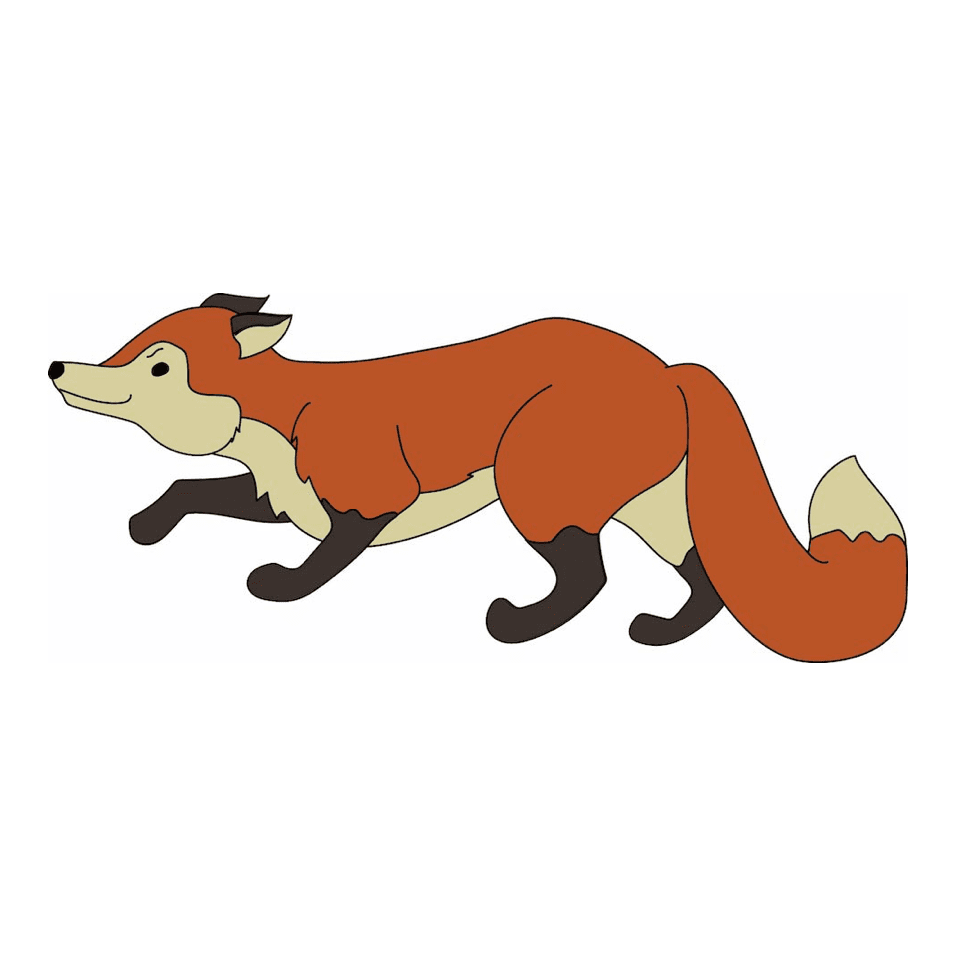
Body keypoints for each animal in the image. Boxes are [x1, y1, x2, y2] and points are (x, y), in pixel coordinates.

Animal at [49, 293, 907, 661]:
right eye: (130, 341)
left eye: (159, 366)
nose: (58, 368)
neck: (287, 415)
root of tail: (669, 368)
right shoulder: (288, 497)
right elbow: (188, 493)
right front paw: (146, 527)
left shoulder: (365, 498)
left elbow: (325, 562)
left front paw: (282, 587)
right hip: (650, 508)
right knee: (705, 576)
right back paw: (662, 634)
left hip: (537, 488)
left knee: (588, 577)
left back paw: (521, 625)